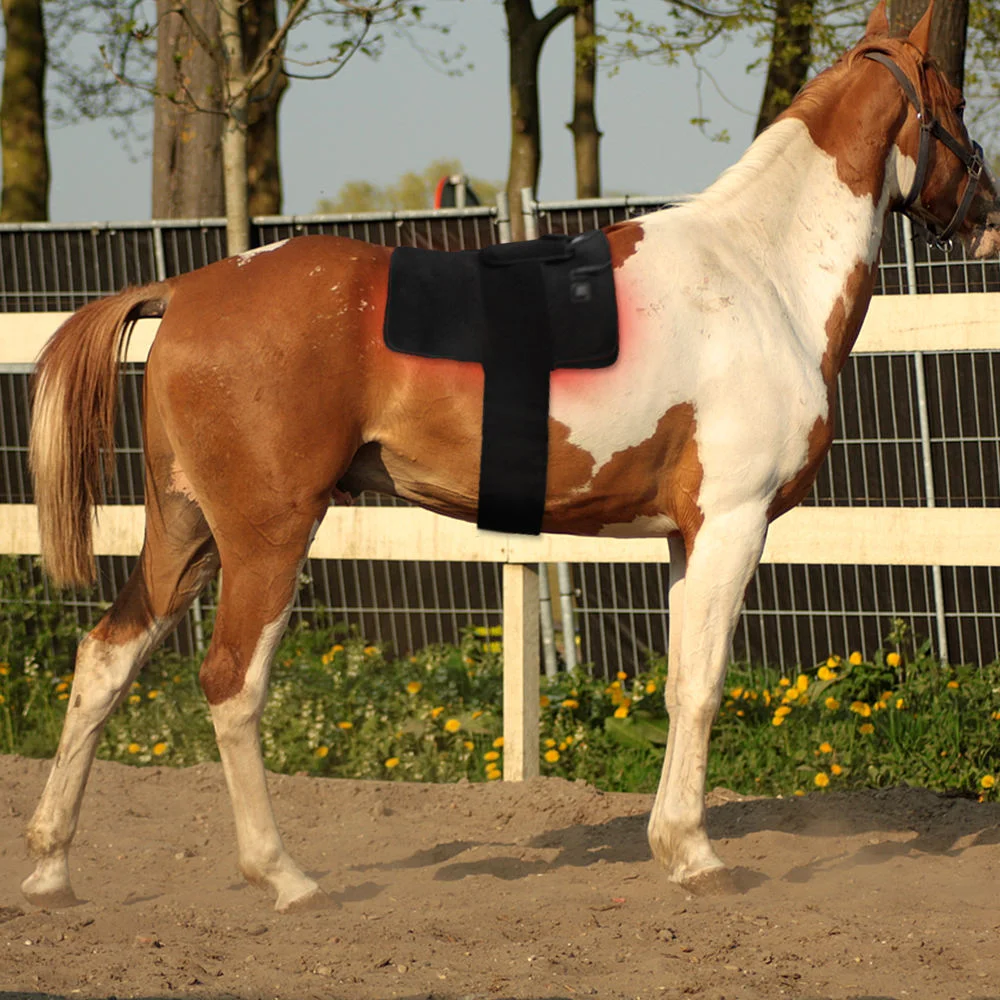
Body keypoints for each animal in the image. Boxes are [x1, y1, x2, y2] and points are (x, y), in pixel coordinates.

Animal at [22, 1, 1000, 912]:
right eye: (956, 103)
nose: (989, 220)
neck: (757, 275)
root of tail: (186, 287)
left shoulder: (684, 536)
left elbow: (681, 682)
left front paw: (673, 844)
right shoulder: (734, 523)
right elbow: (705, 687)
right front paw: (698, 856)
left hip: (183, 531)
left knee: (104, 659)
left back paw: (50, 869)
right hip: (266, 537)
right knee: (231, 682)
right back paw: (286, 877)